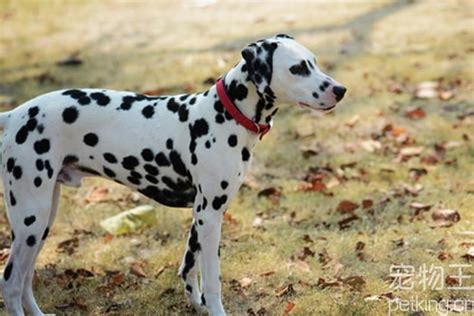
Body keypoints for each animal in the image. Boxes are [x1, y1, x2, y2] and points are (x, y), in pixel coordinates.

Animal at [0, 35, 348, 316]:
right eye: (298, 68)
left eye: (314, 62)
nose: (340, 90)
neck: (225, 115)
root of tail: (15, 115)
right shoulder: (211, 216)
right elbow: (212, 279)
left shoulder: (202, 214)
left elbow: (189, 268)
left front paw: (196, 305)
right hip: (30, 219)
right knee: (11, 282)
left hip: (42, 221)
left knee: (26, 279)